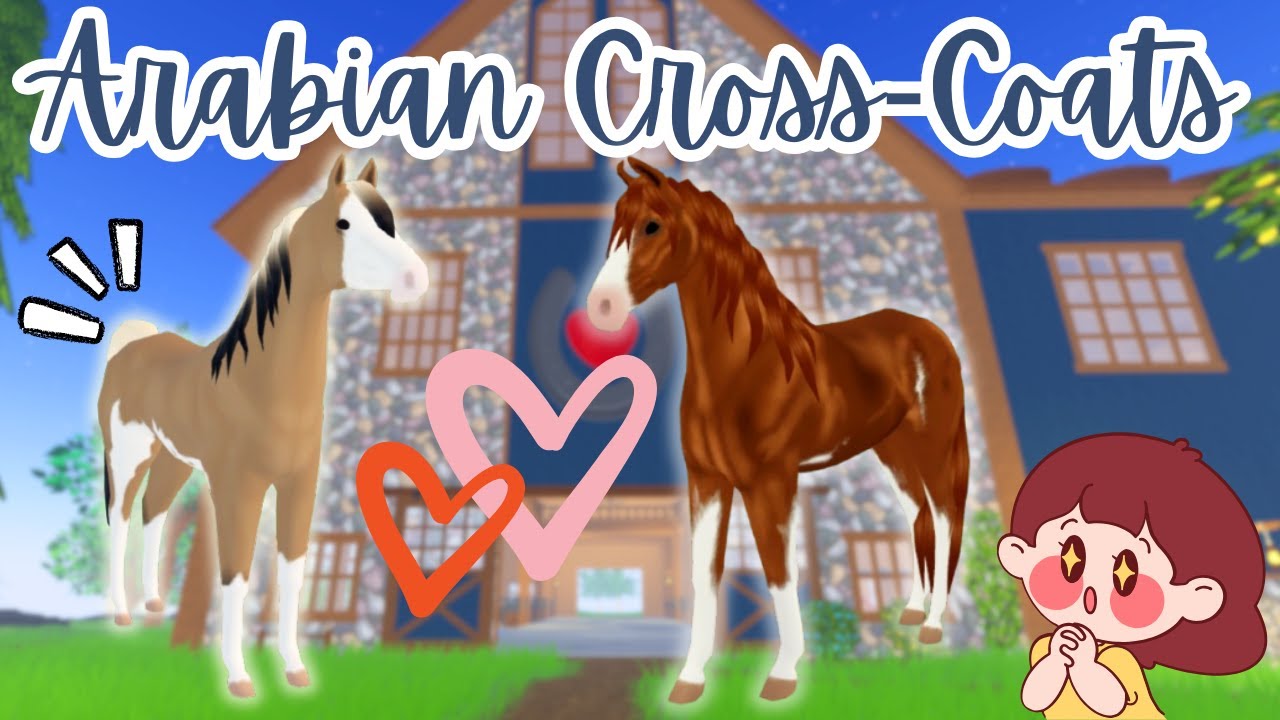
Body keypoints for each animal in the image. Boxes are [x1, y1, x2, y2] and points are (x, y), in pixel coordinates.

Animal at [97, 155, 430, 698]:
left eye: (389, 222)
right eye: (343, 223)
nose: (414, 277)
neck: (259, 386)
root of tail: (131, 345)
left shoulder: (300, 485)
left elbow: (292, 571)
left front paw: (295, 670)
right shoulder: (239, 489)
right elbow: (236, 574)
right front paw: (238, 678)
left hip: (174, 459)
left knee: (154, 510)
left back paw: (153, 605)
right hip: (128, 456)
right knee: (122, 517)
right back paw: (123, 614)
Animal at [587, 158, 970, 703]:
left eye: (652, 226)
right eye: (616, 223)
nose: (601, 306)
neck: (748, 369)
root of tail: (934, 333)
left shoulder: (771, 483)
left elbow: (778, 572)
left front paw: (783, 674)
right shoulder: (707, 481)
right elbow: (704, 575)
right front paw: (690, 680)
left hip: (932, 447)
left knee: (944, 520)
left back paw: (933, 626)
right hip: (891, 450)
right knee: (916, 517)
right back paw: (912, 612)